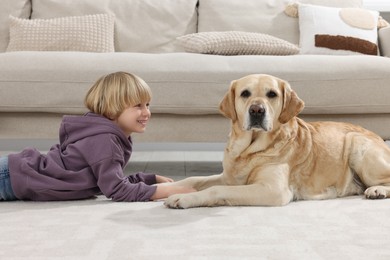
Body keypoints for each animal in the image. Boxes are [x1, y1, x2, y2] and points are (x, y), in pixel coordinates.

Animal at [163, 74, 390, 208]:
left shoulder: (272, 190)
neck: (249, 151)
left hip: (358, 146)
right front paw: (170, 188)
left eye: (272, 94)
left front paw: (183, 198)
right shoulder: (229, 177)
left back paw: (377, 191)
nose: (257, 110)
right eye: (245, 93)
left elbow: (217, 189)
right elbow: (193, 180)